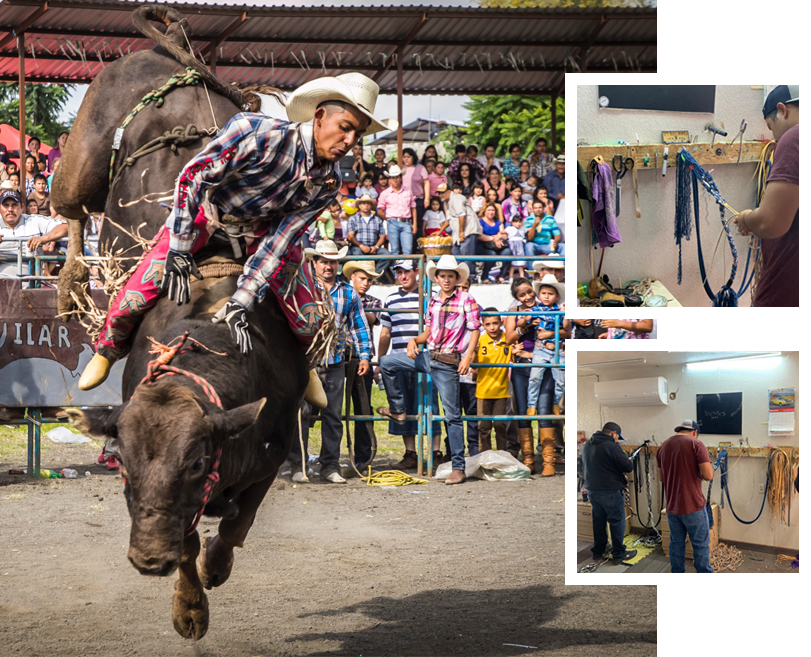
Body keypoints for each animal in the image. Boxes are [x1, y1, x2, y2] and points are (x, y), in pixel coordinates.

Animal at [55, 6, 310, 640]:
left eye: (195, 461)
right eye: (119, 464)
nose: (148, 560)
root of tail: (165, 49)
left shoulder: (270, 451)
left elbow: (236, 527)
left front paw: (216, 569)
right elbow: (191, 544)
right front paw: (190, 607)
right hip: (81, 158)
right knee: (71, 210)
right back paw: (71, 282)